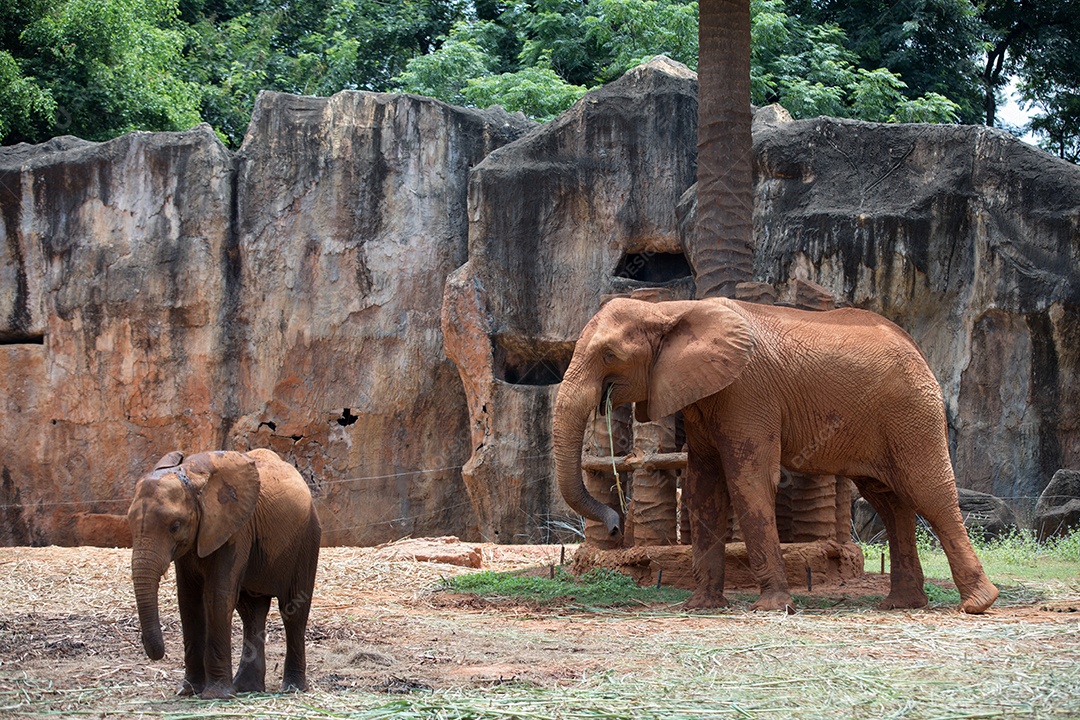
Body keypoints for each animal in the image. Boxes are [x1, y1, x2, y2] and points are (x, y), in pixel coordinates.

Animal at [127, 448, 321, 699]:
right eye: (130, 523)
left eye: (175, 526)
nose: (149, 646)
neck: (192, 475)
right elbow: (189, 601)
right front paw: (188, 690)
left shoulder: (235, 530)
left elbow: (217, 598)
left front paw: (216, 695)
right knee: (251, 612)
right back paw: (246, 687)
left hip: (307, 536)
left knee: (293, 612)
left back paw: (292, 688)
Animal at [553, 297, 999, 614]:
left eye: (609, 354)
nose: (615, 528)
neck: (671, 308)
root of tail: (917, 348)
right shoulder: (703, 398)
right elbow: (703, 490)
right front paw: (701, 606)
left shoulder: (747, 392)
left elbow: (748, 481)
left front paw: (770, 608)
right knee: (890, 502)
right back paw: (900, 604)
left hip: (912, 412)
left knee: (928, 492)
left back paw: (978, 604)